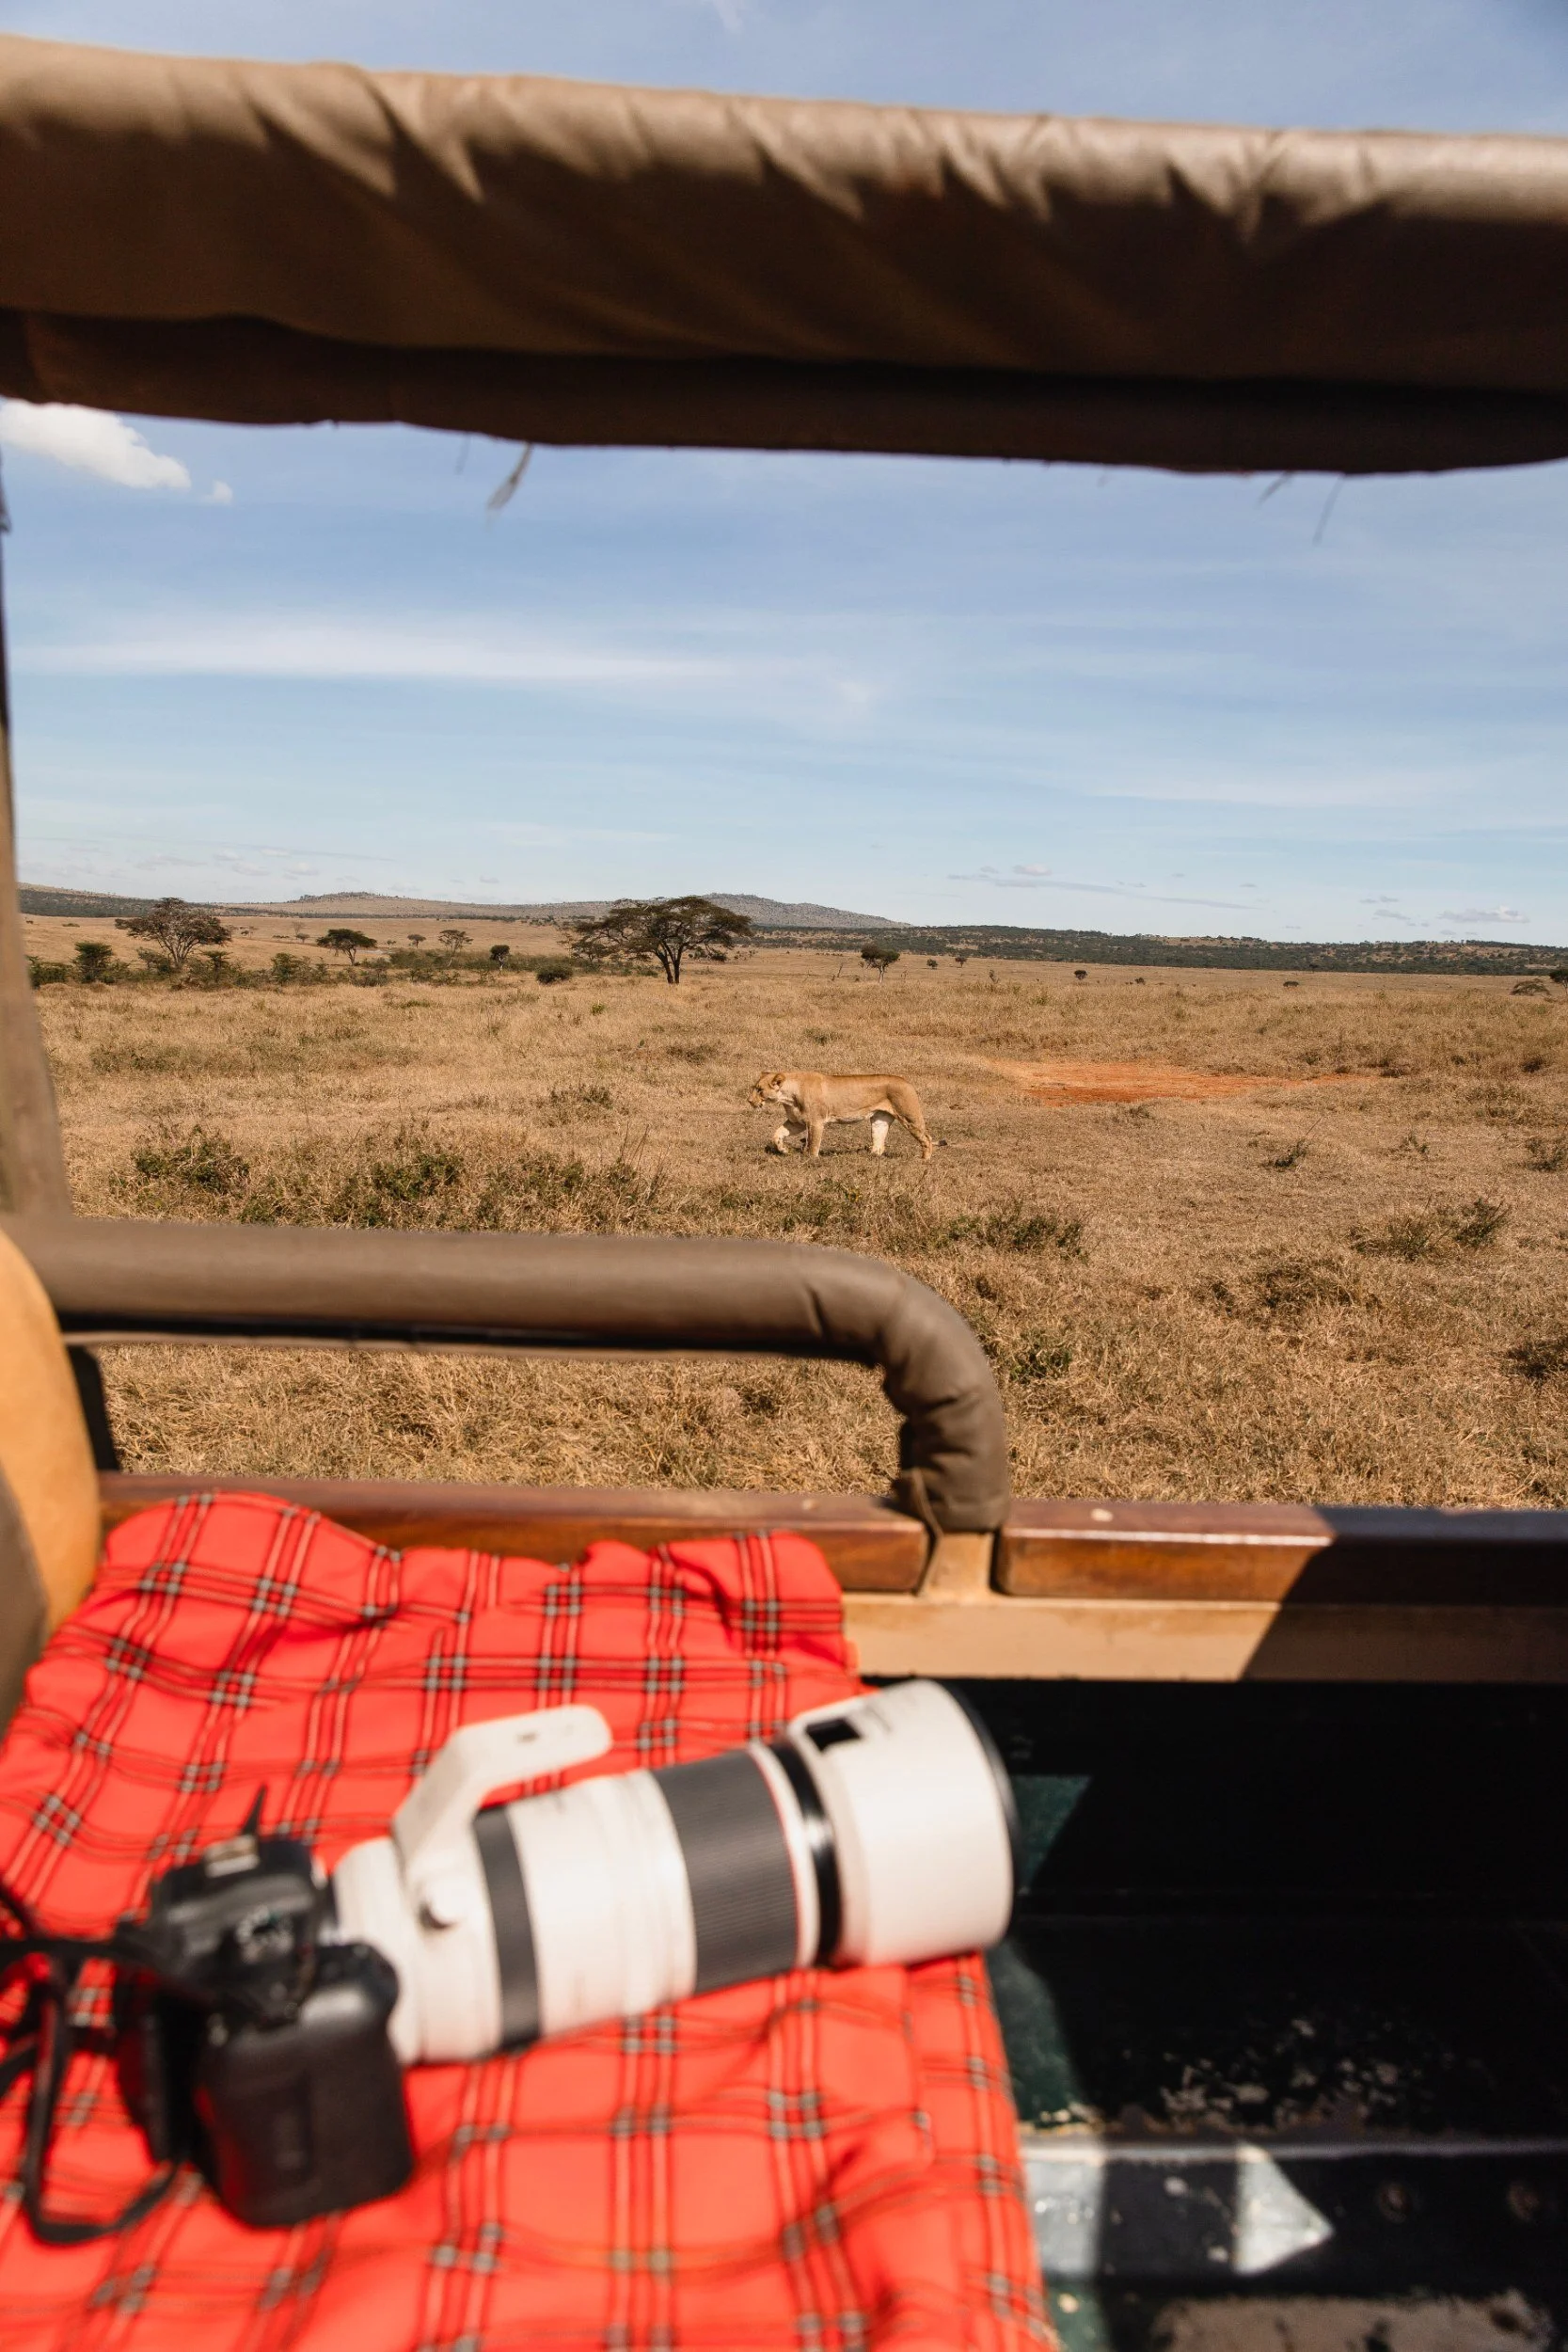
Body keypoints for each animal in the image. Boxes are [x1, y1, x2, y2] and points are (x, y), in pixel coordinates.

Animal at [748, 1071, 935, 1161]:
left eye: (760, 1090)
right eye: (754, 1088)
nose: (749, 1101)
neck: (788, 1096)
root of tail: (906, 1081)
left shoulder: (815, 1121)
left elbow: (813, 1143)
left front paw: (810, 1160)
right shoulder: (797, 1122)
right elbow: (777, 1134)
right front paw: (783, 1150)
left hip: (909, 1116)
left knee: (926, 1137)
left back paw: (924, 1159)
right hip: (880, 1119)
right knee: (879, 1144)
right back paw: (869, 1157)